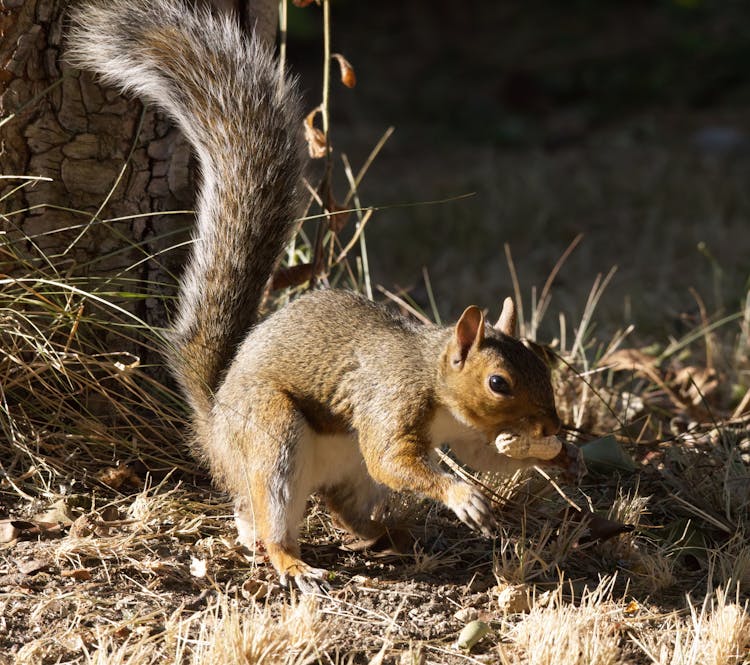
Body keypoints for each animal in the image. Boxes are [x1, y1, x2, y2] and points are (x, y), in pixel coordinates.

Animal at [67, 0, 580, 592]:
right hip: (272, 437)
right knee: (269, 518)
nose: (553, 427)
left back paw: (393, 535)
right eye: (499, 383)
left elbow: (482, 456)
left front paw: (559, 459)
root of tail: (214, 427)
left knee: (342, 507)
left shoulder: (470, 434)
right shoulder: (389, 400)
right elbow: (392, 459)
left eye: (541, 363)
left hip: (345, 474)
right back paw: (294, 562)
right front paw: (463, 496)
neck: (432, 378)